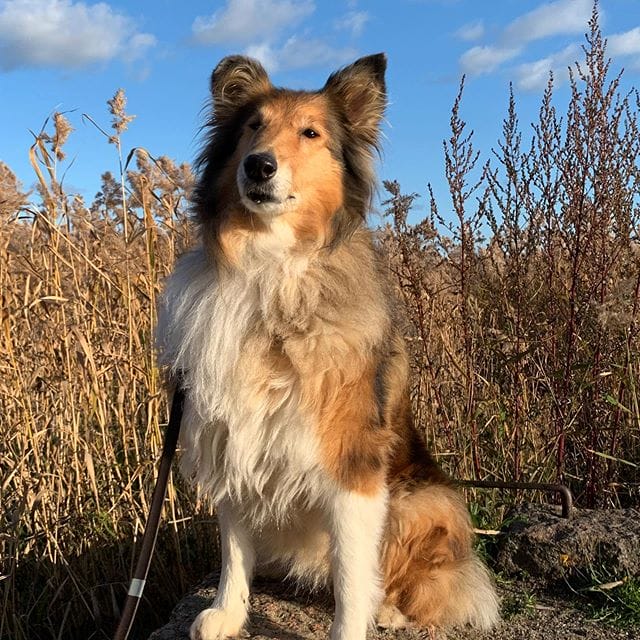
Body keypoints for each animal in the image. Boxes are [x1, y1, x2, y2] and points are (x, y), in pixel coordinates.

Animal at [157, 53, 499, 640]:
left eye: (310, 133)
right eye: (252, 127)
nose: (259, 167)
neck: (271, 270)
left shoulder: (353, 465)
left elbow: (352, 578)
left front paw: (356, 619)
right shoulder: (233, 436)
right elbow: (233, 549)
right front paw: (229, 612)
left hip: (424, 499)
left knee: (424, 580)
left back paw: (392, 608)